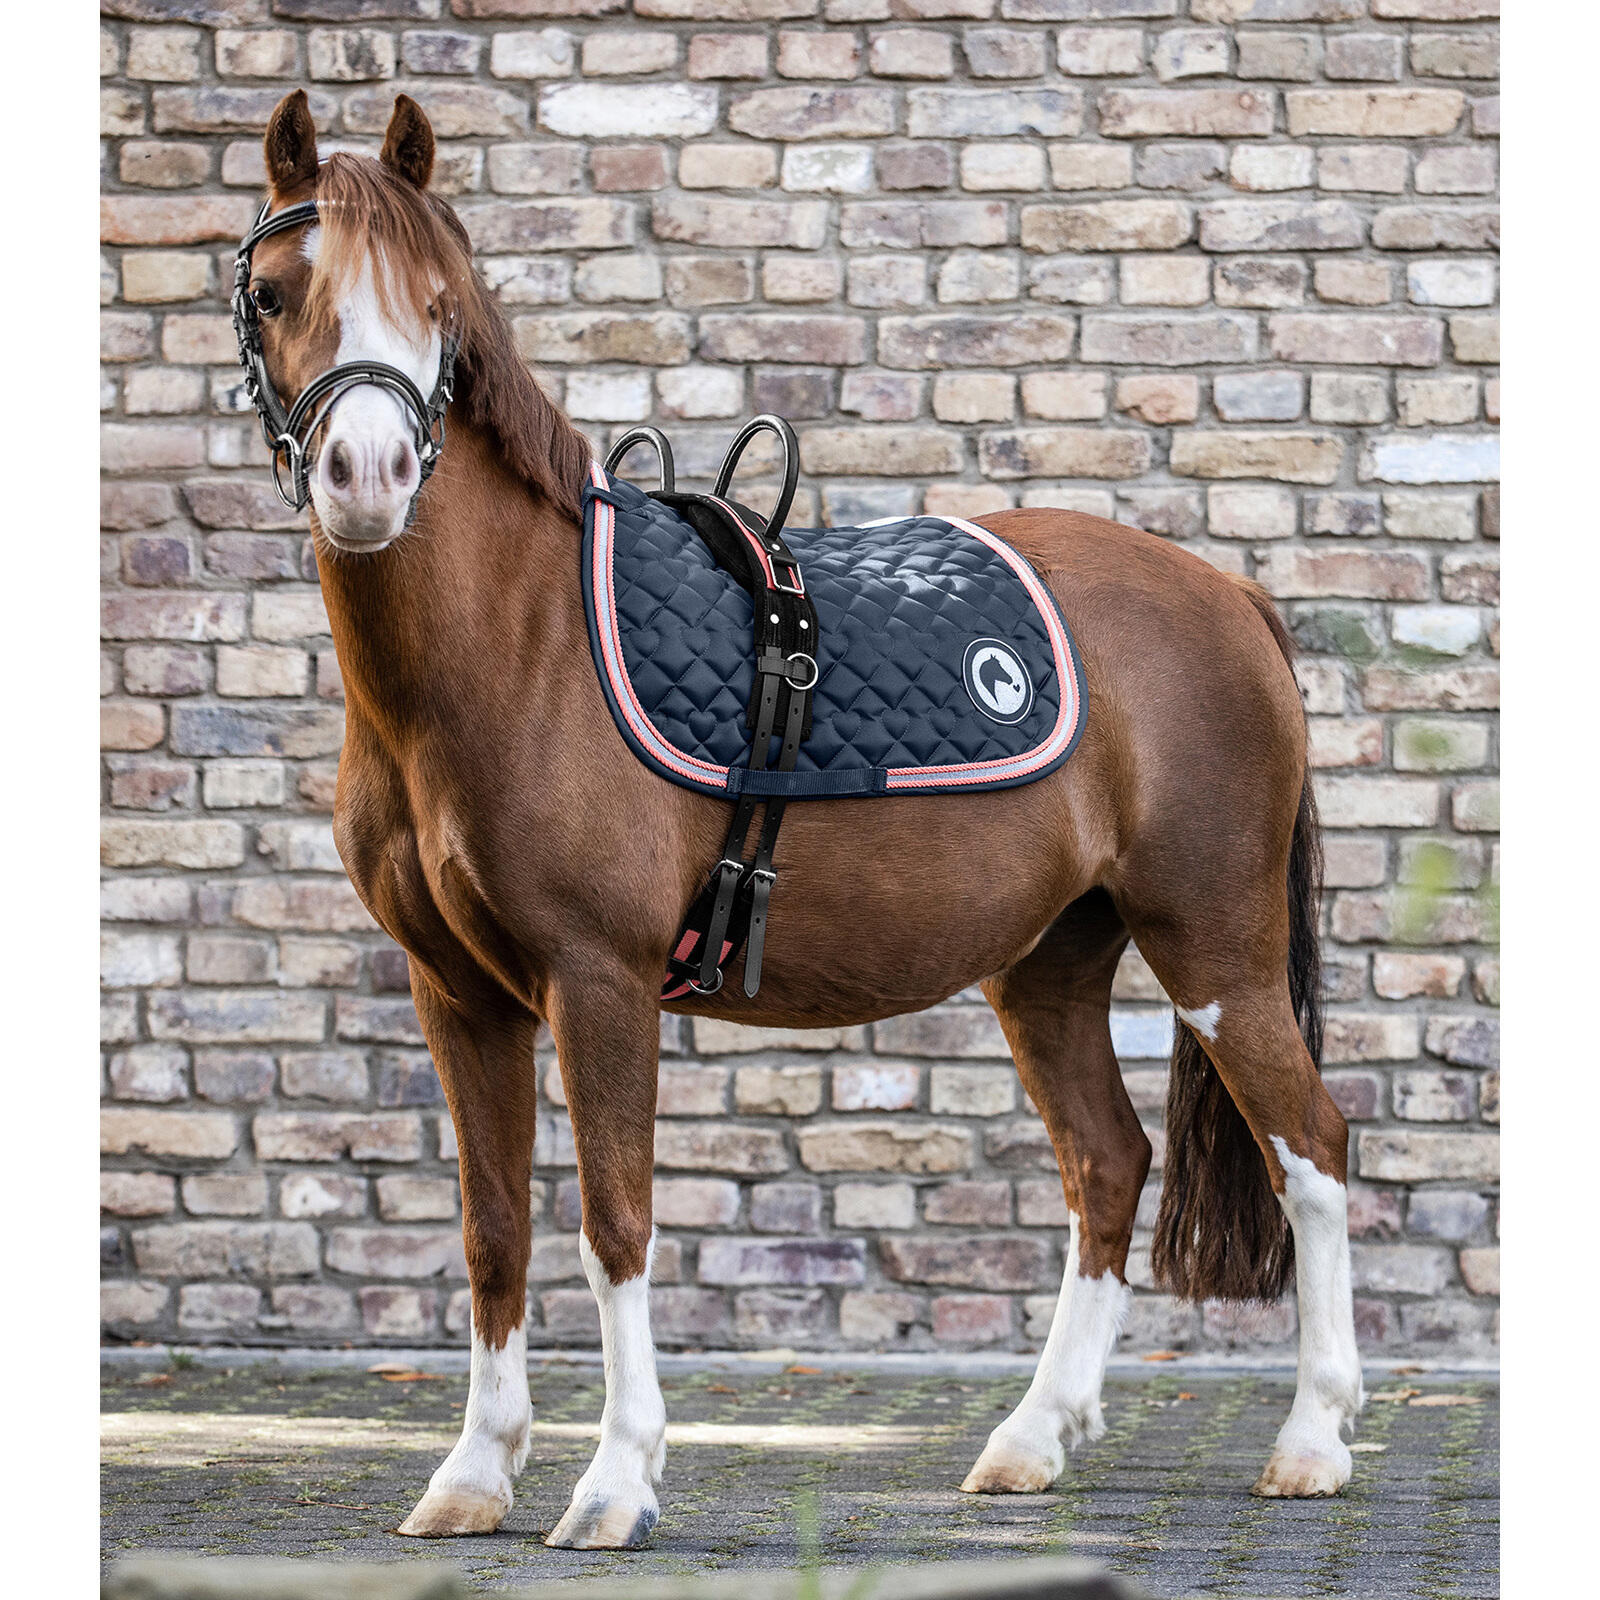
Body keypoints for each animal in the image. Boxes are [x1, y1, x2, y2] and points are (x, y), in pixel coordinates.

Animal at [237, 90, 1362, 1549]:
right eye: (272, 292)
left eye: (439, 304)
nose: (366, 475)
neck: (522, 645)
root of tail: (1233, 596)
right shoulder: (457, 992)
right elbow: (493, 1231)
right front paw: (474, 1476)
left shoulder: (598, 981)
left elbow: (615, 1221)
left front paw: (614, 1484)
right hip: (1051, 962)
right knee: (1107, 1166)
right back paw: (1030, 1439)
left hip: (1215, 948)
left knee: (1313, 1151)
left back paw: (1312, 1442)